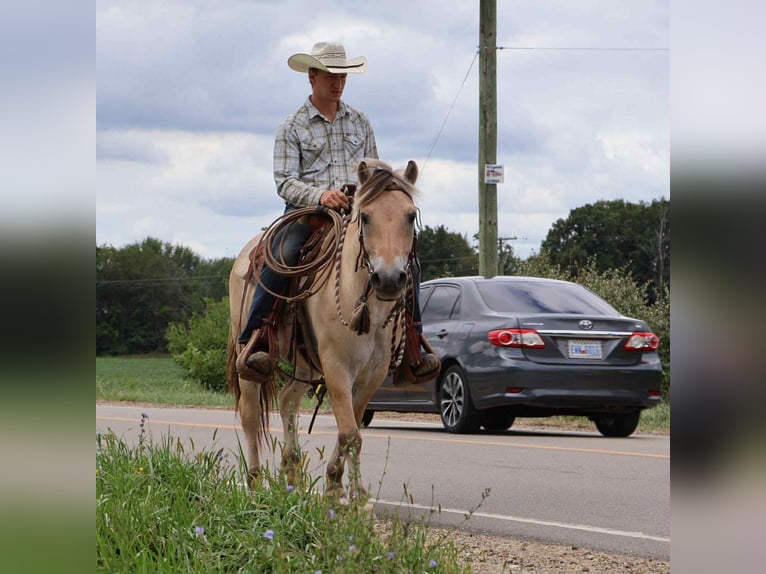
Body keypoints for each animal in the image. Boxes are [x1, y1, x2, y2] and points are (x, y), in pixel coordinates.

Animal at [226, 159, 421, 501]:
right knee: (250, 416)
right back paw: (256, 485)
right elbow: (350, 432)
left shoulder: (372, 375)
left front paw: (336, 487)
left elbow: (350, 429)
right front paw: (355, 499)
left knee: (288, 401)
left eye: (410, 216)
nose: (388, 279)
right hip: (247, 357)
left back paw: (291, 478)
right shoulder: (336, 368)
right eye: (365, 217)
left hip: (304, 364)